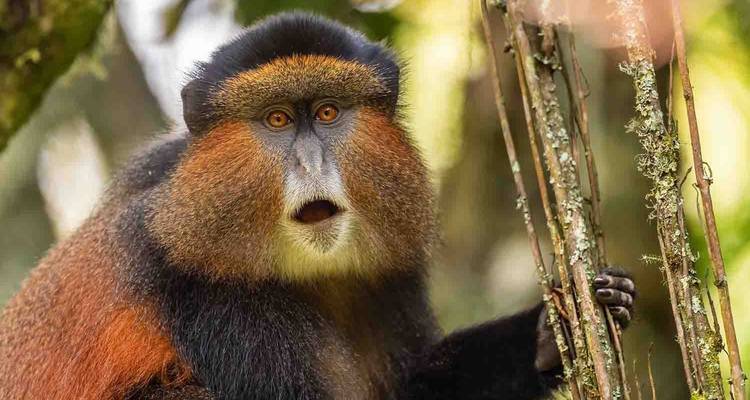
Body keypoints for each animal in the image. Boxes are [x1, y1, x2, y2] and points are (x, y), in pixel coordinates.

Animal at [0, 12, 636, 400]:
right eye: (278, 119)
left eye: (327, 112)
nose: (309, 164)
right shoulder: (200, 289)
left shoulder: (390, 273)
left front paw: (556, 332)